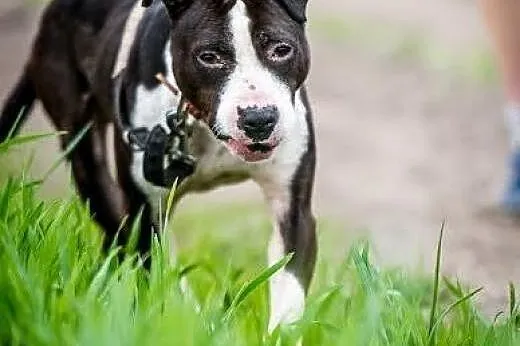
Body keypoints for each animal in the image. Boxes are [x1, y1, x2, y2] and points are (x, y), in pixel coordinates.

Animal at [0, 0, 316, 332]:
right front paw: (189, 319)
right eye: (208, 57)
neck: (198, 121)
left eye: (282, 50)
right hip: (84, 152)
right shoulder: (145, 211)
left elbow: (289, 293)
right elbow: (160, 270)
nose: (259, 118)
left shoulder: (293, 211)